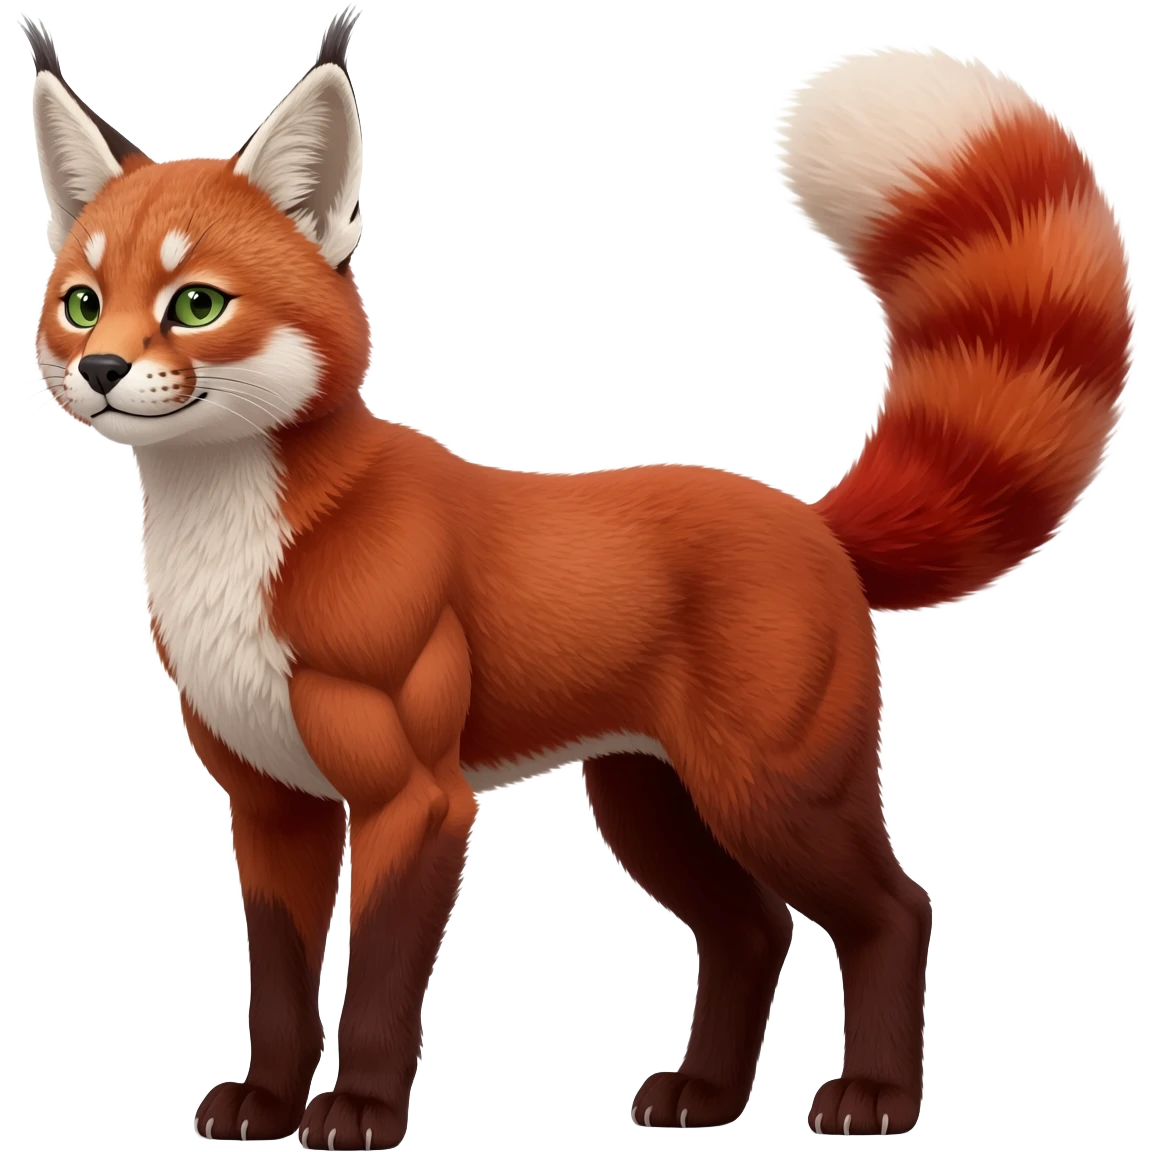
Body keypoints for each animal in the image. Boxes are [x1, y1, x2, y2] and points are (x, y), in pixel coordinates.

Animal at [20, 8, 1135, 1146]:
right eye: (82, 303)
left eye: (197, 304)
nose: (100, 372)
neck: (236, 551)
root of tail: (812, 522)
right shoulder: (269, 802)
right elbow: (281, 981)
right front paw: (271, 1102)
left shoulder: (416, 799)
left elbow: (378, 983)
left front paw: (362, 1109)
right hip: (652, 803)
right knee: (752, 929)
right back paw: (705, 1096)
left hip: (772, 794)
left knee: (896, 910)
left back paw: (876, 1096)